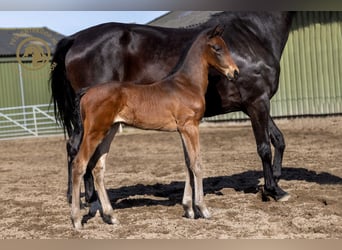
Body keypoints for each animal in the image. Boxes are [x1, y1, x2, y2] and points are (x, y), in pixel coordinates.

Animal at [50, 11, 294, 207]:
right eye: (217, 48)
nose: (234, 72)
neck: (253, 34)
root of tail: (74, 39)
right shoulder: (257, 102)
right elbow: (264, 147)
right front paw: (274, 190)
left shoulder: (255, 104)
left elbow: (278, 139)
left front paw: (274, 180)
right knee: (78, 149)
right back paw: (86, 199)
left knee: (75, 147)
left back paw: (81, 197)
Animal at [71, 25, 239, 230]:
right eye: (216, 48)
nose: (235, 72)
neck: (187, 84)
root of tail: (87, 92)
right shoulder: (190, 127)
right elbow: (197, 164)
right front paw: (203, 209)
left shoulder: (183, 129)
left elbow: (187, 164)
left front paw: (188, 209)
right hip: (94, 132)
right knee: (79, 164)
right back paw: (76, 220)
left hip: (109, 131)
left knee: (98, 168)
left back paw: (111, 216)